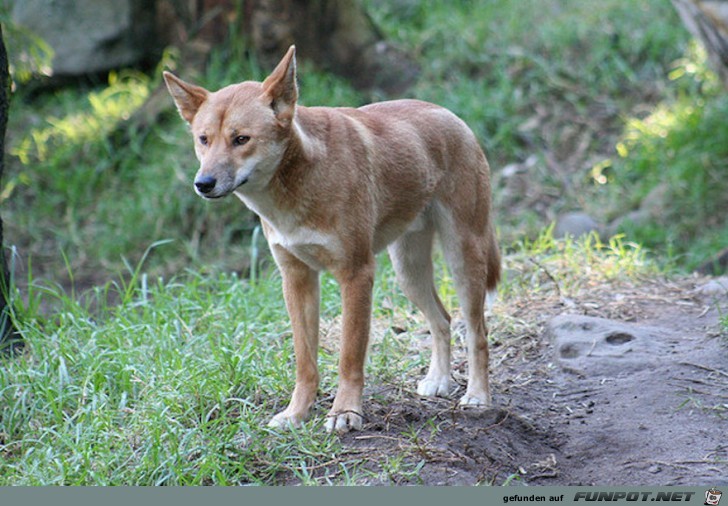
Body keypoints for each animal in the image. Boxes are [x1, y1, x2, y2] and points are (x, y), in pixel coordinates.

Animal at [164, 46, 500, 430]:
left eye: (241, 139)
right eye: (203, 139)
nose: (203, 183)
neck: (299, 184)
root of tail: (451, 114)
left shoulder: (356, 274)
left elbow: (349, 357)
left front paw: (345, 412)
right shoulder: (296, 278)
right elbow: (305, 362)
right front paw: (296, 414)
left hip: (462, 257)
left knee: (477, 332)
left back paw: (477, 396)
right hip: (408, 271)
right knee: (442, 321)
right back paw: (439, 381)